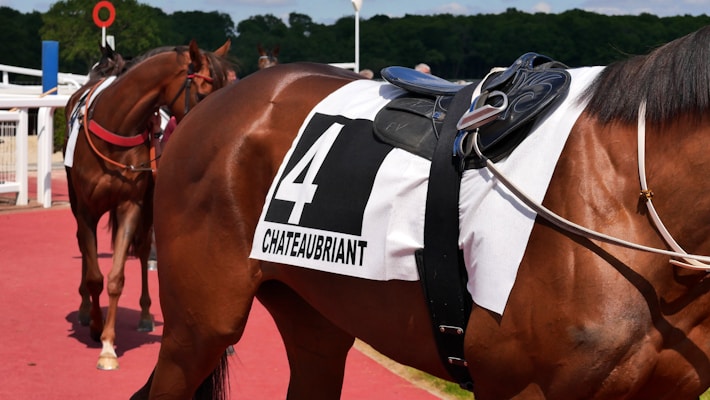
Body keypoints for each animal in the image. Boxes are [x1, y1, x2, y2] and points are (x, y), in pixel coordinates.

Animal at [64, 39, 231, 371]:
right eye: (203, 94)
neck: (116, 128)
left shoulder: (131, 205)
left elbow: (116, 277)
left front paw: (108, 345)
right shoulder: (87, 209)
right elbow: (94, 275)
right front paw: (95, 325)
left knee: (142, 252)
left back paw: (144, 315)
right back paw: (85, 309)